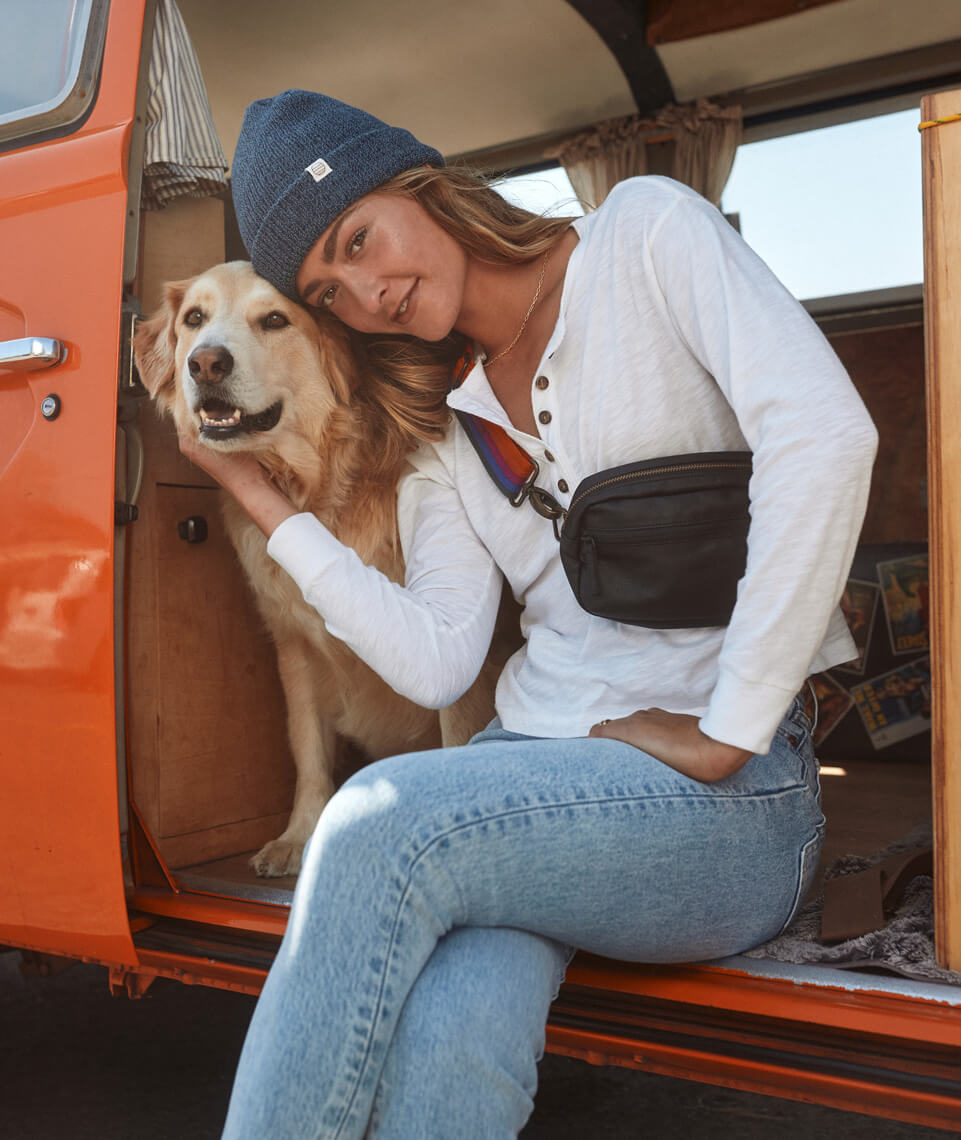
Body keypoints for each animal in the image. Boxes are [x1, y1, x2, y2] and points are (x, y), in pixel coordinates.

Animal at [136, 262, 508, 875]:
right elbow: (306, 746)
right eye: (194, 318)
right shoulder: (293, 644)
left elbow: (457, 734)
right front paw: (298, 835)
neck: (315, 490)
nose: (206, 362)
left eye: (274, 320)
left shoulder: (466, 660)